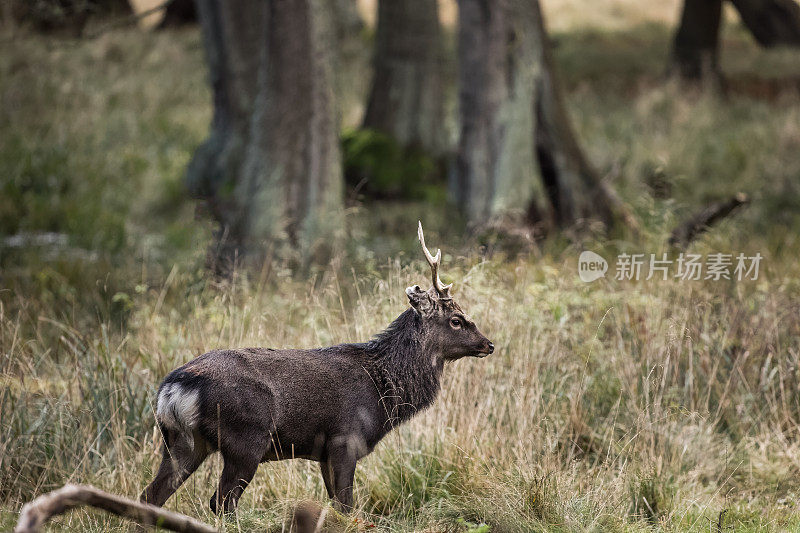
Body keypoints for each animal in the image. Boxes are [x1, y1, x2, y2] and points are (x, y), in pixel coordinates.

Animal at [143, 220, 494, 512]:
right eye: (457, 320)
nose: (489, 344)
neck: (383, 391)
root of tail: (174, 387)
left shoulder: (324, 453)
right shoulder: (345, 440)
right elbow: (347, 506)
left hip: (180, 441)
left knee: (151, 496)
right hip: (246, 439)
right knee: (221, 502)